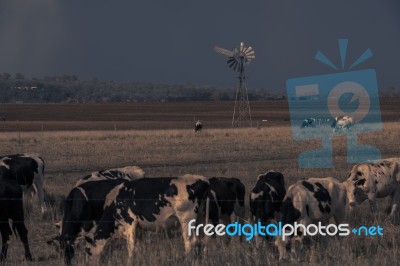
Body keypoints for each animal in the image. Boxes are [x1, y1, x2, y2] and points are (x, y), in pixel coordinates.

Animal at [85, 175, 216, 262]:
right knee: (204, 239)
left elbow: (131, 245)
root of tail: (202, 179)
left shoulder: (130, 223)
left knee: (190, 241)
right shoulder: (139, 227)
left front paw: (129, 261)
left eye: (87, 251)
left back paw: (187, 260)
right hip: (202, 218)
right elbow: (139, 245)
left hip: (186, 220)